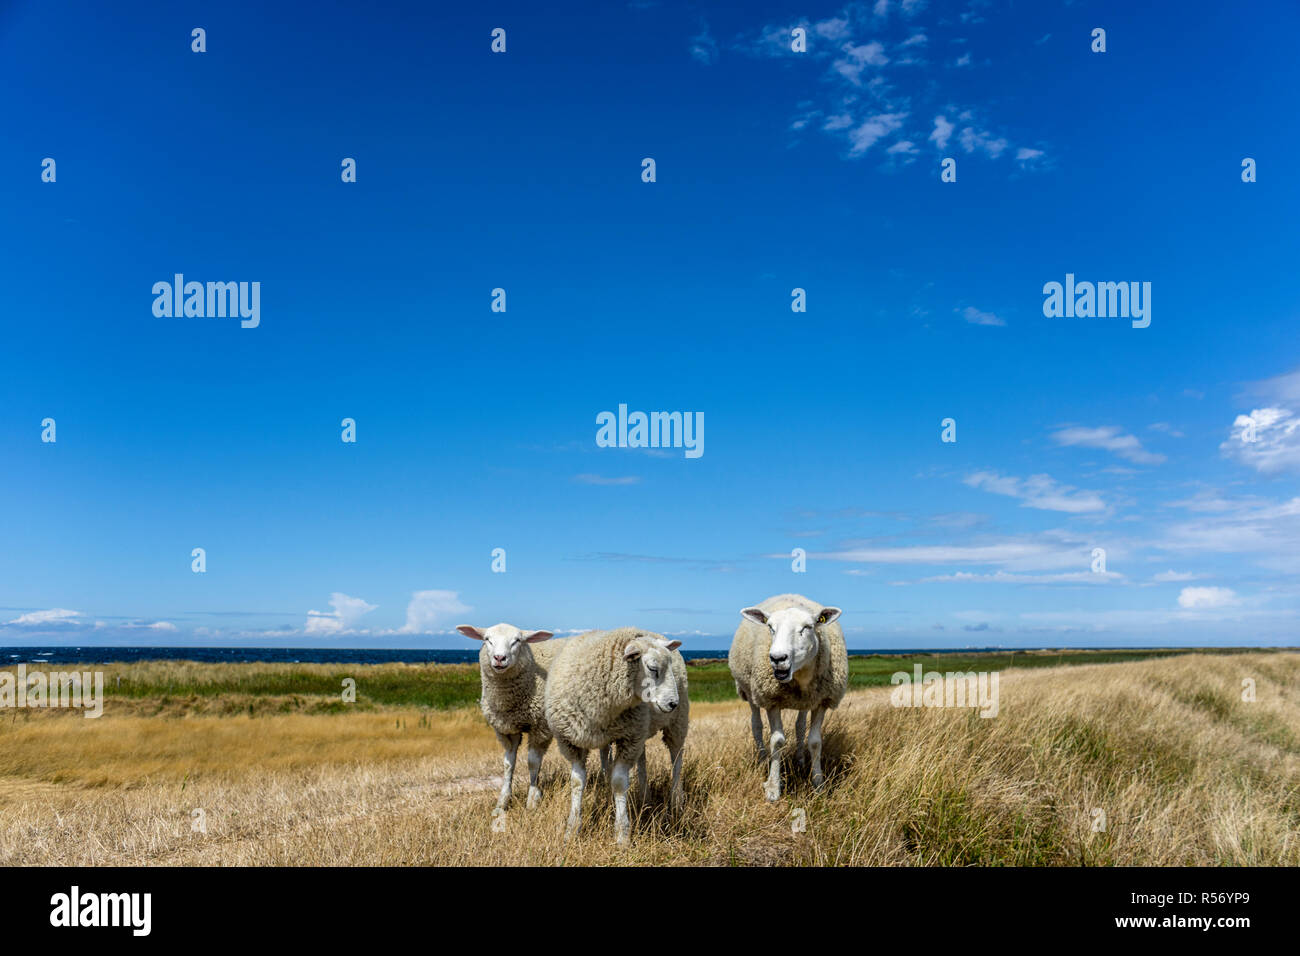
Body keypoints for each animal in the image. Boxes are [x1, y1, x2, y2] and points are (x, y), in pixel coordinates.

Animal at [454, 621, 561, 816]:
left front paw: (532, 800)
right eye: (487, 639)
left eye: (517, 640)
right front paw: (502, 802)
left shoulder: (540, 727)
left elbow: (533, 763)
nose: (499, 658)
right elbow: (508, 764)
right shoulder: (506, 730)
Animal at [546, 629, 691, 842]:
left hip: (676, 723)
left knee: (677, 759)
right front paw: (572, 829)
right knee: (641, 759)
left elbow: (619, 782)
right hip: (637, 730)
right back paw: (645, 797)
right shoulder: (572, 743)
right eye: (652, 668)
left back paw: (676, 801)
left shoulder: (629, 739)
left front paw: (622, 834)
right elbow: (577, 782)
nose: (673, 703)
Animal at [728, 595, 847, 806]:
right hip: (751, 693)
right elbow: (777, 741)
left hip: (805, 702)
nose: (777, 658)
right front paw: (773, 787)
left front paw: (818, 784)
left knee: (800, 727)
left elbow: (815, 742)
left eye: (808, 627)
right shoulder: (771, 700)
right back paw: (762, 759)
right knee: (756, 725)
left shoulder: (822, 701)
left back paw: (800, 759)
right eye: (770, 627)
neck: (800, 677)